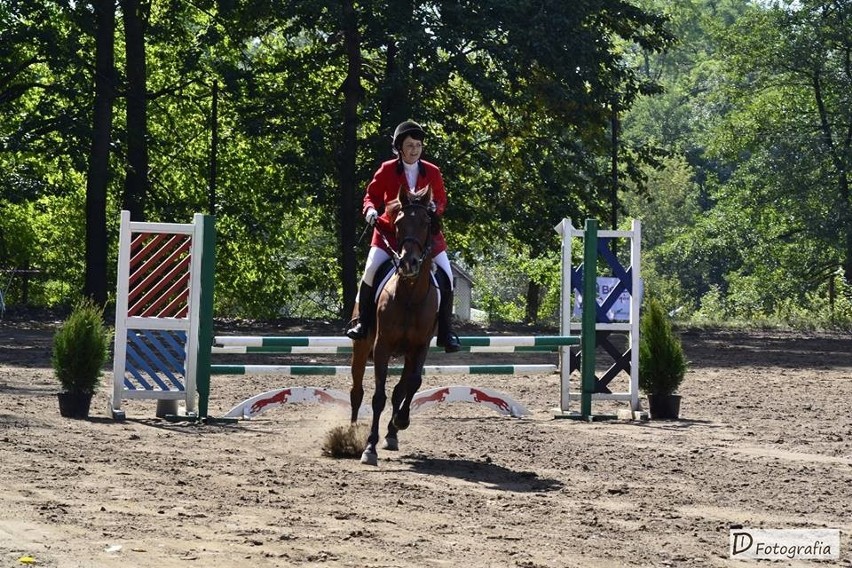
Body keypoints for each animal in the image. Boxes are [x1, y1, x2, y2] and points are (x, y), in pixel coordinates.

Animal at [348, 184, 440, 464]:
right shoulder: (382, 347)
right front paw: (369, 447)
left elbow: (412, 384)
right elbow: (378, 396)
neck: (409, 295)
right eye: (398, 223)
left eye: (426, 222)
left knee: (400, 389)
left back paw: (391, 433)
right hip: (360, 348)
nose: (409, 263)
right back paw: (351, 435)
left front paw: (401, 421)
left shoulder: (420, 347)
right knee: (356, 391)